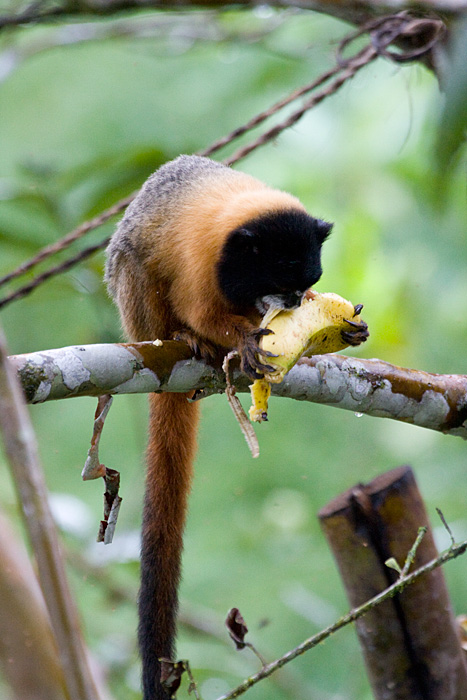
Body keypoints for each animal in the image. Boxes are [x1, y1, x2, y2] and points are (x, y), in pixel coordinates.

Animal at [105, 154, 332, 700]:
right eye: (280, 272)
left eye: (304, 276)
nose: (294, 300)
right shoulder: (201, 262)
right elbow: (203, 310)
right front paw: (237, 339)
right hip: (140, 321)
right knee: (137, 270)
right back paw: (186, 339)